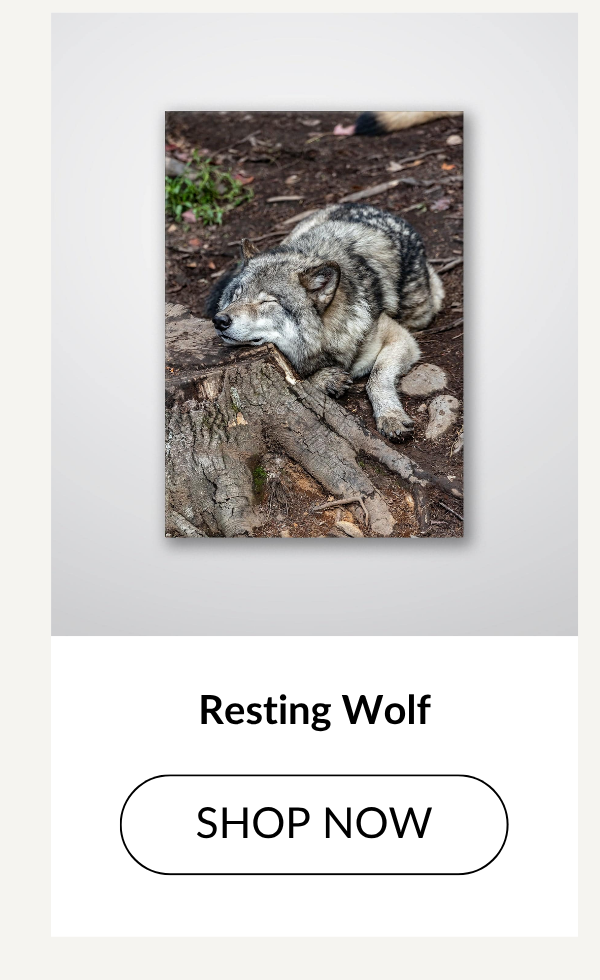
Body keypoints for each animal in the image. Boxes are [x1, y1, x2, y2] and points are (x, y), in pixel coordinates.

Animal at [206, 203, 444, 440]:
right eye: (236, 296)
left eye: (267, 301)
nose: (219, 320)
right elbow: (297, 377)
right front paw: (326, 378)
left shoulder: (399, 337)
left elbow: (376, 377)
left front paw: (390, 415)